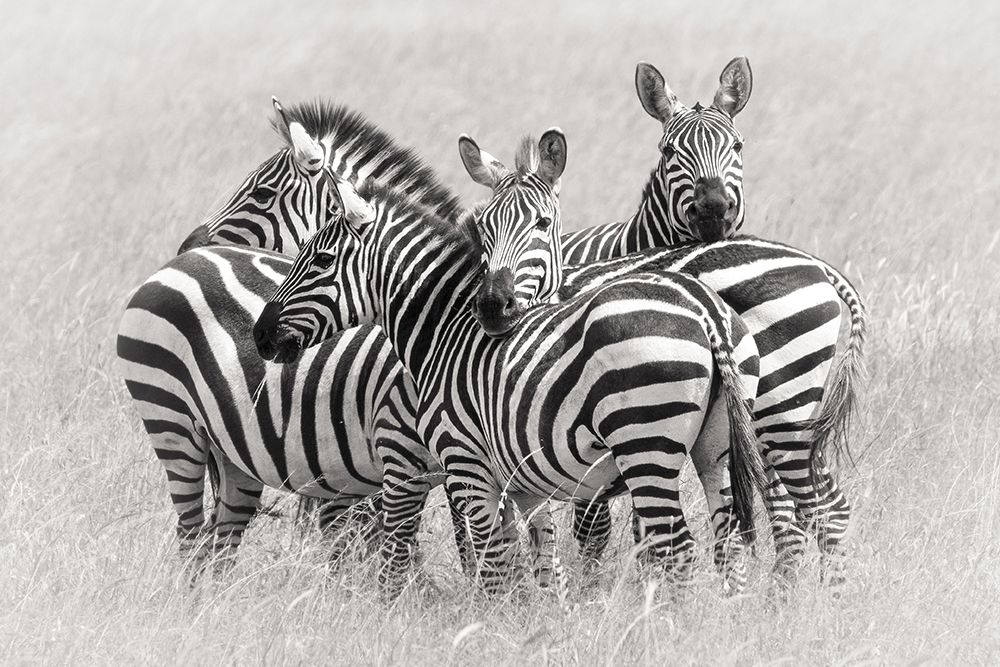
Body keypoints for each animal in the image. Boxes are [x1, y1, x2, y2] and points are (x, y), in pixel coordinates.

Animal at [252, 163, 768, 593]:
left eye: (320, 261)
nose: (259, 335)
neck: (445, 331)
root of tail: (705, 311)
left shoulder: (466, 464)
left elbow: (493, 563)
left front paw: (490, 626)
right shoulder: (522, 480)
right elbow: (538, 560)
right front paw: (541, 624)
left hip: (646, 446)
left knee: (676, 548)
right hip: (715, 450)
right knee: (727, 543)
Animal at [458, 58, 867, 584]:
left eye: (738, 146)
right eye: (670, 151)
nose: (713, 209)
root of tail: (819, 266)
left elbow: (590, 524)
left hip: (779, 410)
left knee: (810, 508)